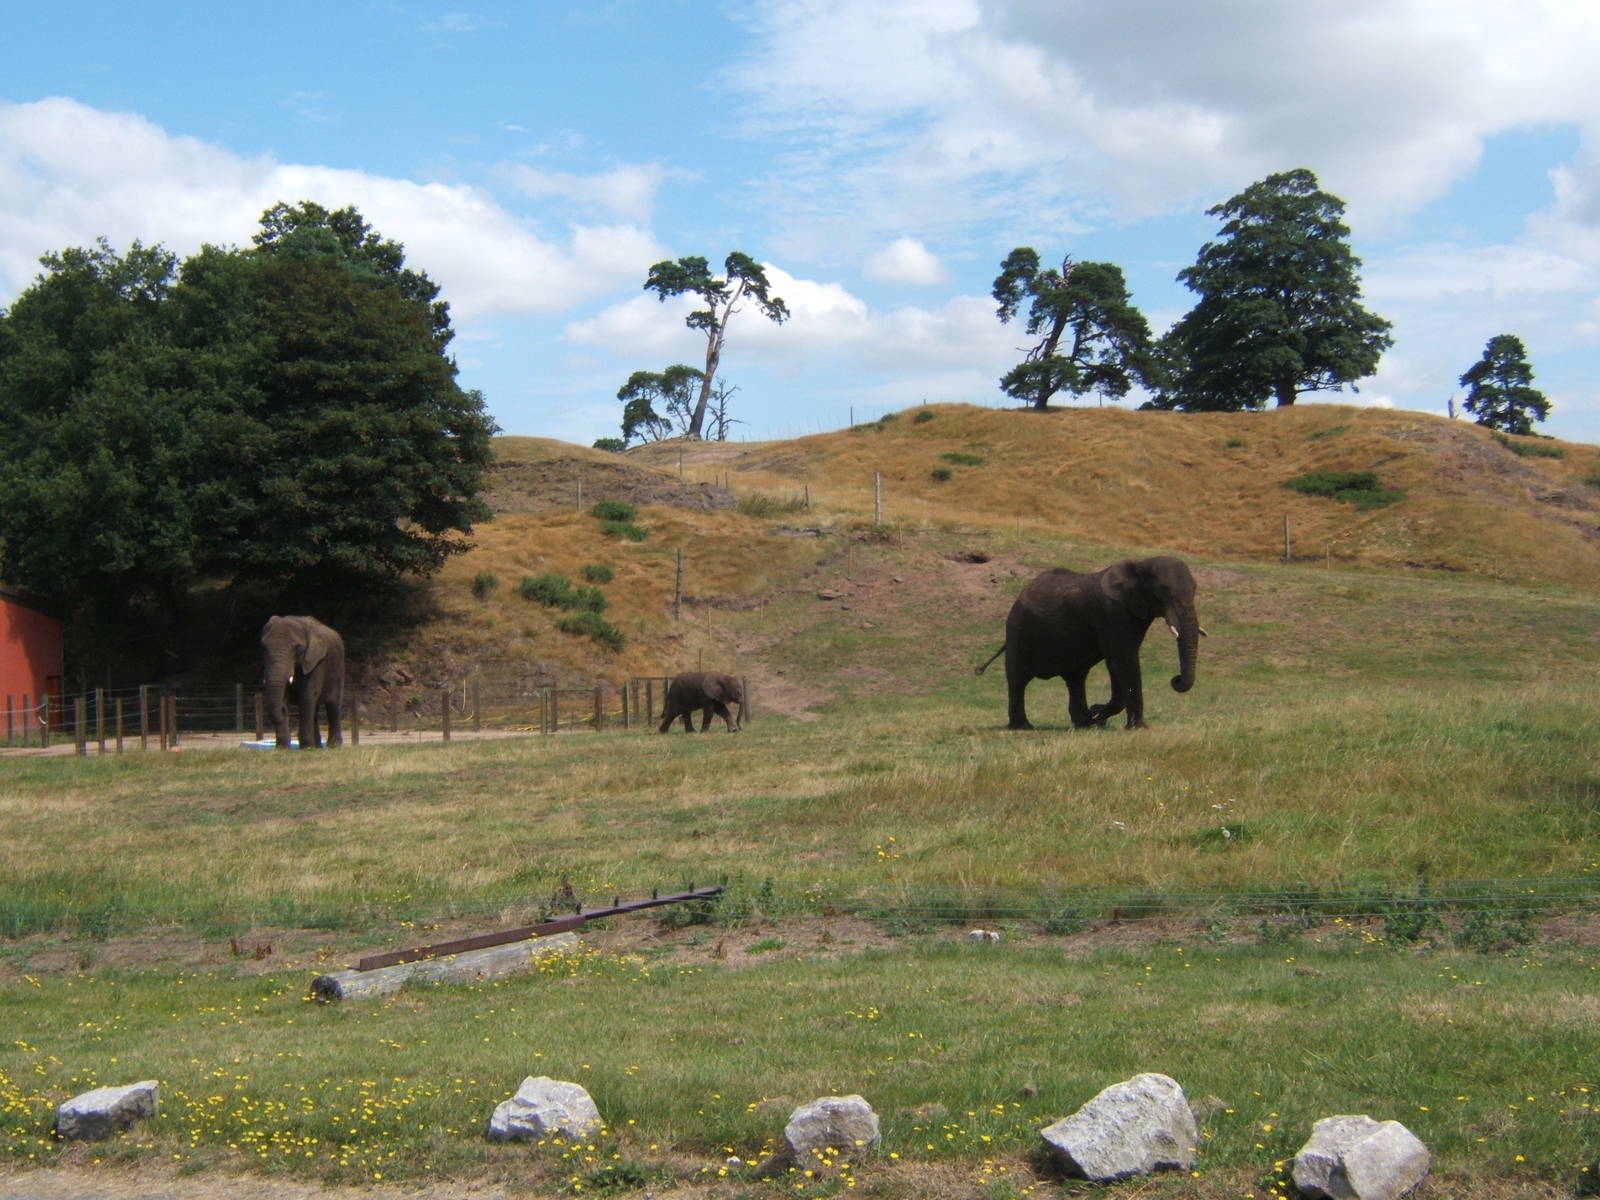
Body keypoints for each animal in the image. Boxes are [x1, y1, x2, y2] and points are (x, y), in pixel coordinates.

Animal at [261, 615, 346, 749]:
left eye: (297, 648)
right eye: (264, 648)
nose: (283, 709)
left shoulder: (316, 662)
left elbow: (307, 696)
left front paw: (307, 748)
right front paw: (282, 749)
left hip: (338, 667)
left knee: (333, 705)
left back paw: (334, 746)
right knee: (315, 710)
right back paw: (318, 747)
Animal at [976, 556, 1203, 730]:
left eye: (1194, 589)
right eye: (1162, 593)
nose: (1175, 679)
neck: (1139, 564)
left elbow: (1119, 662)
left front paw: (1098, 717)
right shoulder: (1112, 613)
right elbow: (1122, 660)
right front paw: (1133, 726)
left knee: (1076, 678)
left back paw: (1083, 723)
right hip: (1018, 628)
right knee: (1018, 678)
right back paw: (1023, 727)